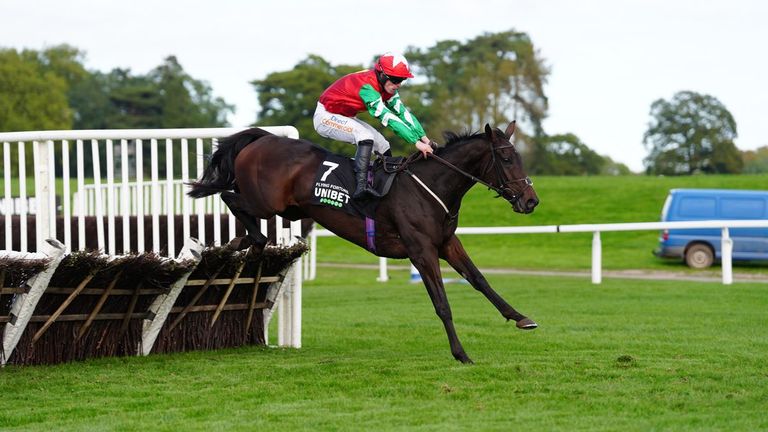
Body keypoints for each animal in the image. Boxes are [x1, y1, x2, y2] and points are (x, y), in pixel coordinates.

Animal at [190, 120, 540, 362]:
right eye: (506, 159)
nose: (531, 201)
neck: (431, 186)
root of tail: (263, 138)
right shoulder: (421, 250)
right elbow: (442, 303)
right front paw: (461, 353)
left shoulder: (446, 243)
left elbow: (480, 280)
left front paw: (521, 318)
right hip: (267, 203)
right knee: (229, 197)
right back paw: (247, 242)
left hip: (289, 208)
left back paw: (241, 243)